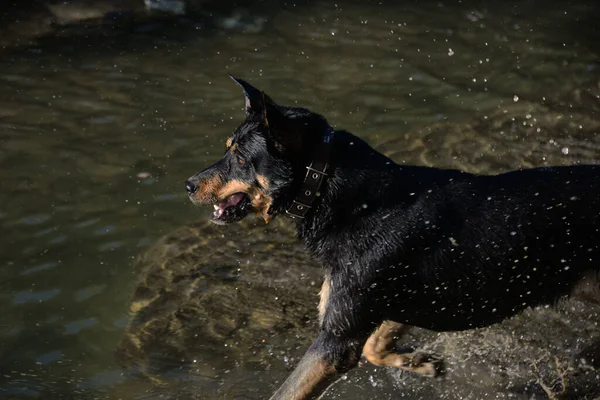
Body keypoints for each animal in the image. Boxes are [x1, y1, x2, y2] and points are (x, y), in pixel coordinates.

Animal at [185, 76, 600, 398]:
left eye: (240, 158)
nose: (188, 185)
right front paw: (419, 362)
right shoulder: (380, 305)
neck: (336, 192)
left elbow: (287, 391)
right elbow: (375, 345)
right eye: (227, 150)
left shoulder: (336, 339)